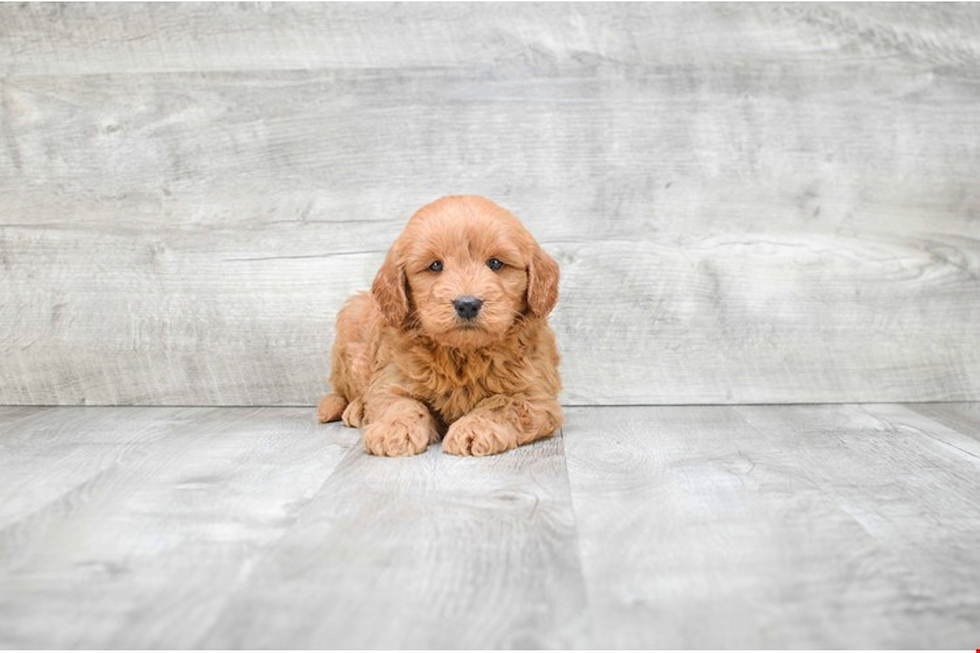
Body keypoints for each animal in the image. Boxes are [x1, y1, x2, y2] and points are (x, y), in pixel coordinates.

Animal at [318, 196, 564, 456]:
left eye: (495, 263)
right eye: (435, 266)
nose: (467, 304)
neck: (462, 355)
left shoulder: (535, 394)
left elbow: (503, 403)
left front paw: (475, 427)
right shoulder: (392, 376)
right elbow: (399, 403)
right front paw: (394, 429)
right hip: (353, 321)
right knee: (345, 392)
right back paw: (354, 408)